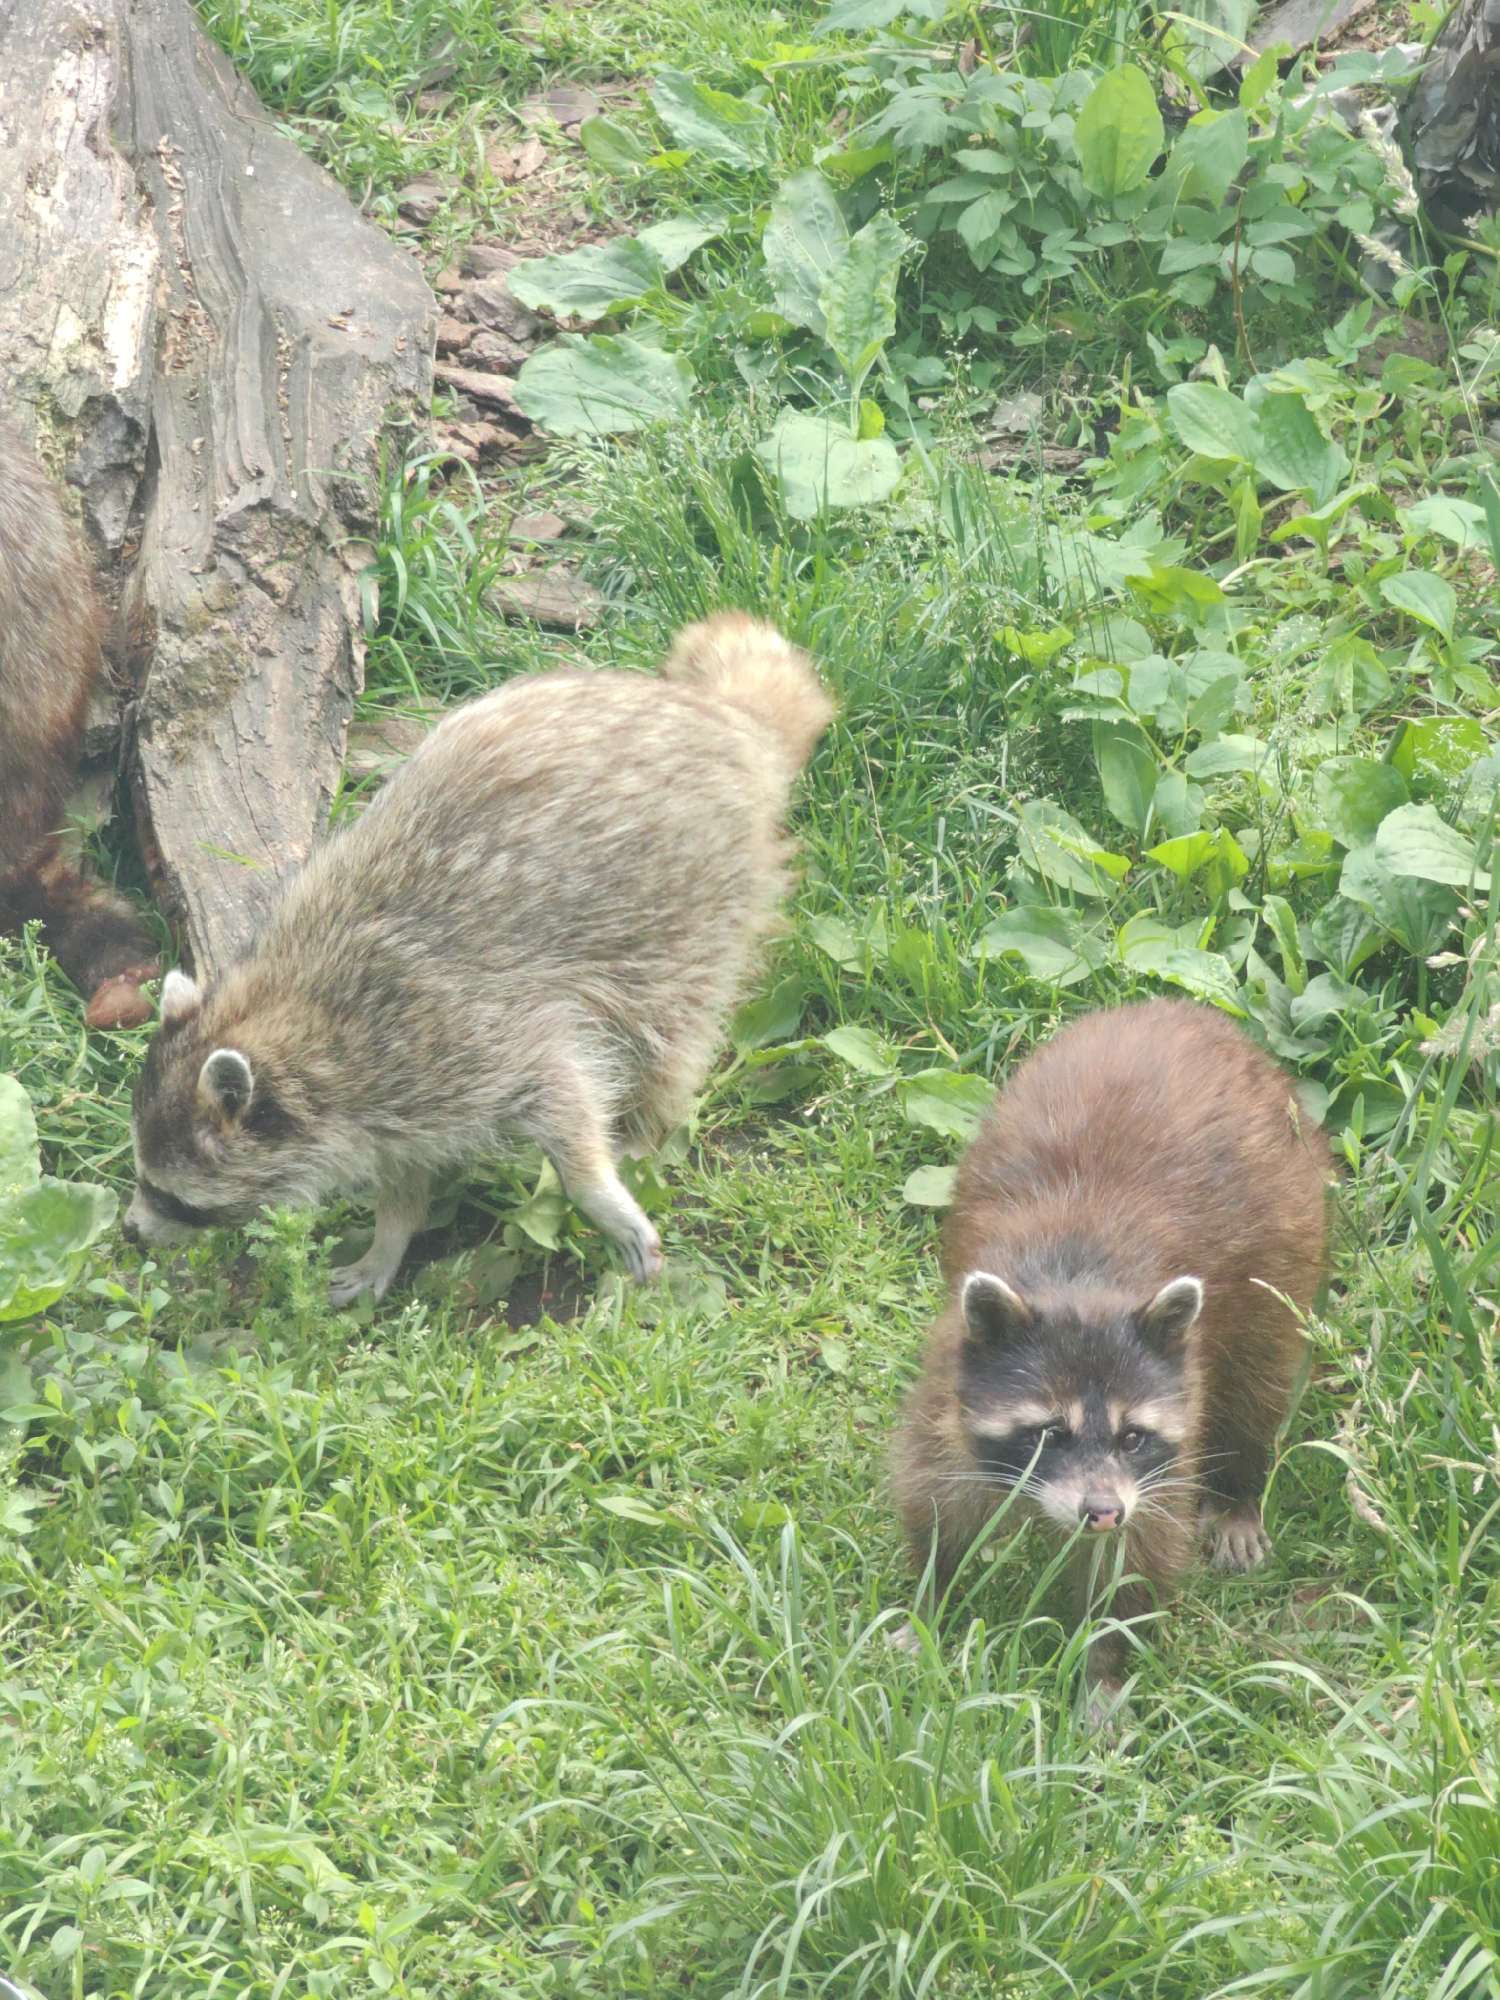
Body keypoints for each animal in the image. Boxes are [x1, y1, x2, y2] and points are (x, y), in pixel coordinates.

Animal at [125, 613, 833, 1304]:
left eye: (171, 1196)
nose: (130, 1233)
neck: (284, 1013)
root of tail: (727, 721)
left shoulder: (457, 1035)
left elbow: (564, 1091)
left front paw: (596, 1188)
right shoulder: (394, 1102)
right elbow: (405, 1172)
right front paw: (390, 1238)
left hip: (691, 901)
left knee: (668, 1035)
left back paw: (641, 1129)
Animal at [891, 998, 1331, 1707]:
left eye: (1132, 1437)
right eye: (1050, 1432)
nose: (1101, 1513)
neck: (1080, 1283)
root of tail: (1186, 1012)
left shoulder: (1160, 1461)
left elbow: (1133, 1564)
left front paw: (1104, 1669)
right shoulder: (947, 1388)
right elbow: (937, 1502)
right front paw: (932, 1599)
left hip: (1290, 1233)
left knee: (1259, 1379)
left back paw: (1241, 1485)